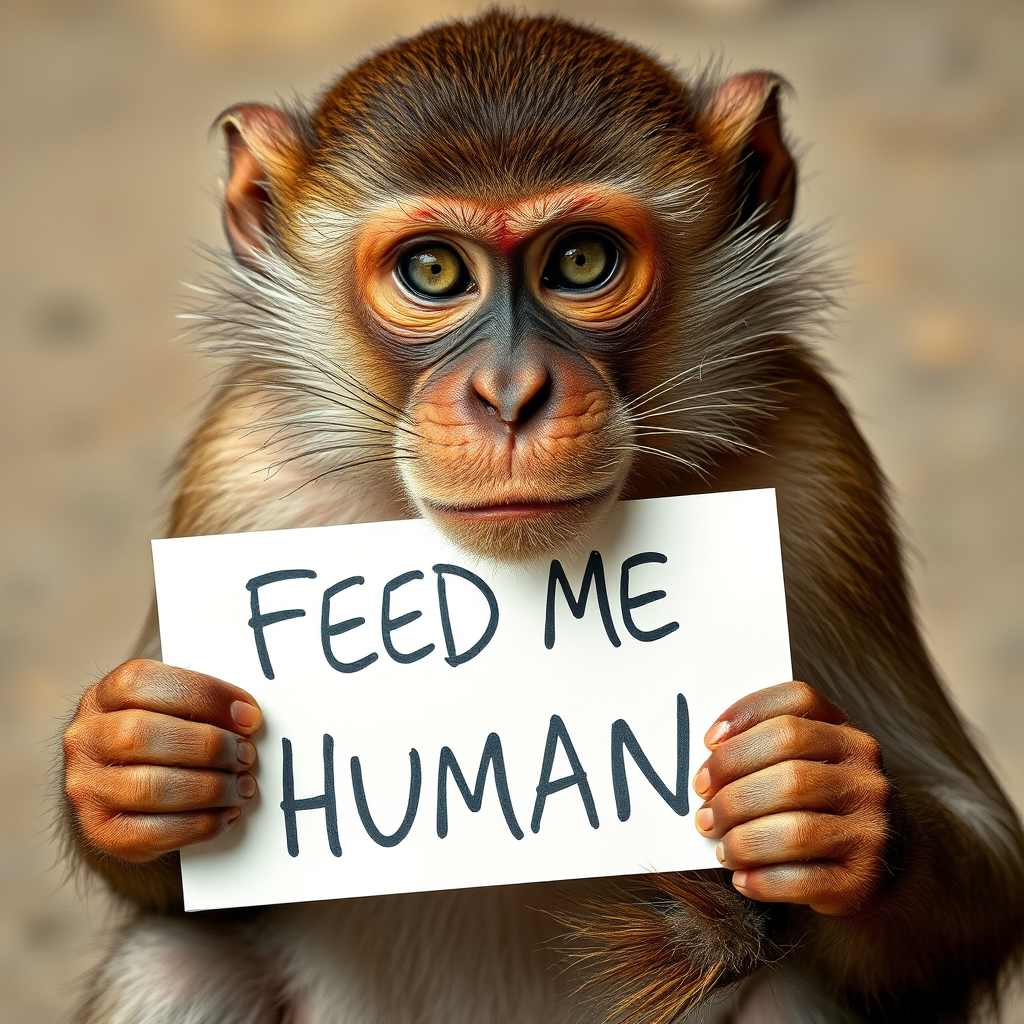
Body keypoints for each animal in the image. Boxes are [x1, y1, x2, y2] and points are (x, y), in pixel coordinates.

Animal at [59, 11, 1024, 1024]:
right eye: (434, 270)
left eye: (581, 261)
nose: (512, 394)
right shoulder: (239, 469)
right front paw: (132, 758)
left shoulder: (816, 464)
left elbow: (990, 872)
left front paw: (822, 801)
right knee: (178, 962)